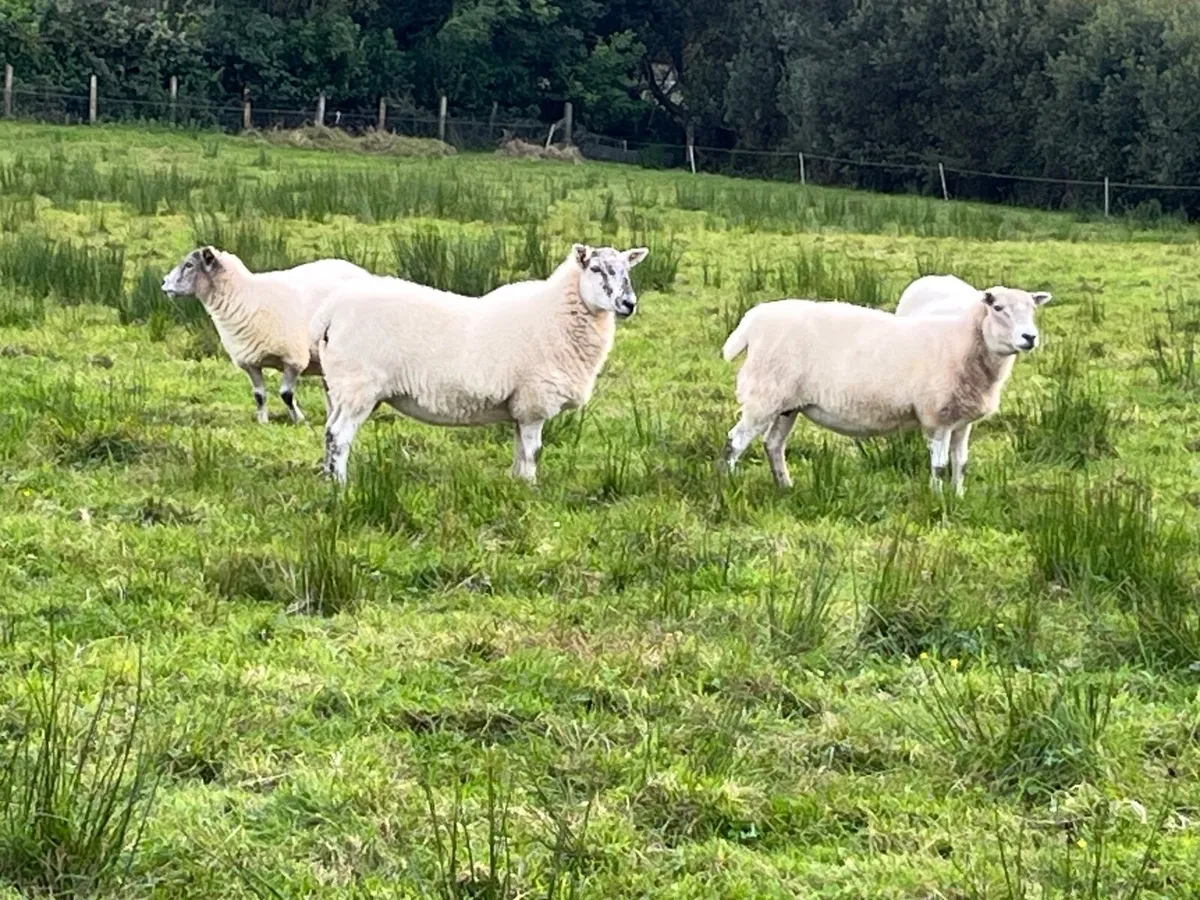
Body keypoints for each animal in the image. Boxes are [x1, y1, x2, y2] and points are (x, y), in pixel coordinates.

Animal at [161, 247, 375, 424]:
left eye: (189, 265)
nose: (163, 283)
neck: (244, 296)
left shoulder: (294, 359)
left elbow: (286, 393)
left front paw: (299, 419)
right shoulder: (250, 362)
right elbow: (259, 395)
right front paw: (263, 421)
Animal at [310, 242, 649, 484]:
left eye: (627, 270)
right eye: (596, 268)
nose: (628, 304)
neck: (557, 313)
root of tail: (330, 311)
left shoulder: (520, 406)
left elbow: (519, 450)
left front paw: (516, 483)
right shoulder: (535, 402)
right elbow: (532, 452)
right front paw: (530, 488)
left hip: (340, 388)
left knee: (329, 432)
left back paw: (328, 480)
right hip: (359, 386)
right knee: (339, 436)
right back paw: (341, 486)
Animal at [720, 284, 1051, 495]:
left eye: (1033, 310)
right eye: (997, 307)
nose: (1030, 337)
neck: (961, 341)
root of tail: (754, 320)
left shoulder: (961, 421)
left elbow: (961, 463)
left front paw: (958, 497)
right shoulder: (937, 416)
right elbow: (939, 465)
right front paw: (936, 499)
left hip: (787, 403)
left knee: (773, 444)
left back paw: (785, 486)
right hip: (764, 394)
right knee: (735, 441)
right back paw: (727, 484)